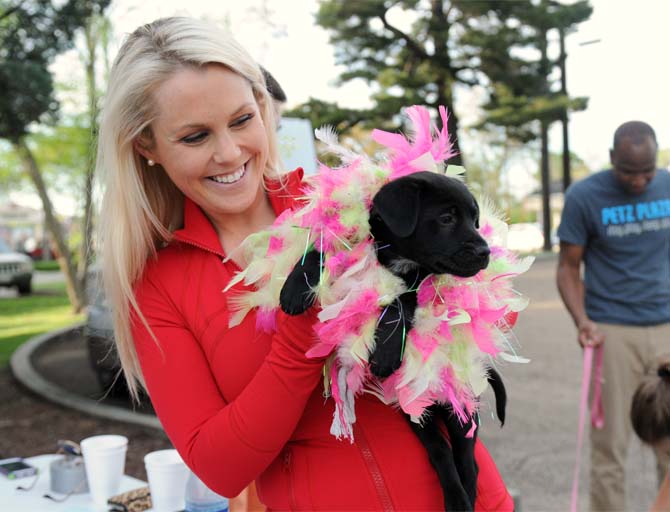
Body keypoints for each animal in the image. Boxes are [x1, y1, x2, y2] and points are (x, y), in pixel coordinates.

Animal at [280, 170, 506, 510]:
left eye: (475, 219)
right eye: (447, 217)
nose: (485, 253)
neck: (398, 257)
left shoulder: (419, 281)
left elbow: (399, 303)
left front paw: (385, 353)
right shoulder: (352, 240)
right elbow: (321, 245)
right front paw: (294, 287)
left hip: (459, 408)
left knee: (467, 461)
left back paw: (462, 499)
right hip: (417, 414)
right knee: (440, 453)